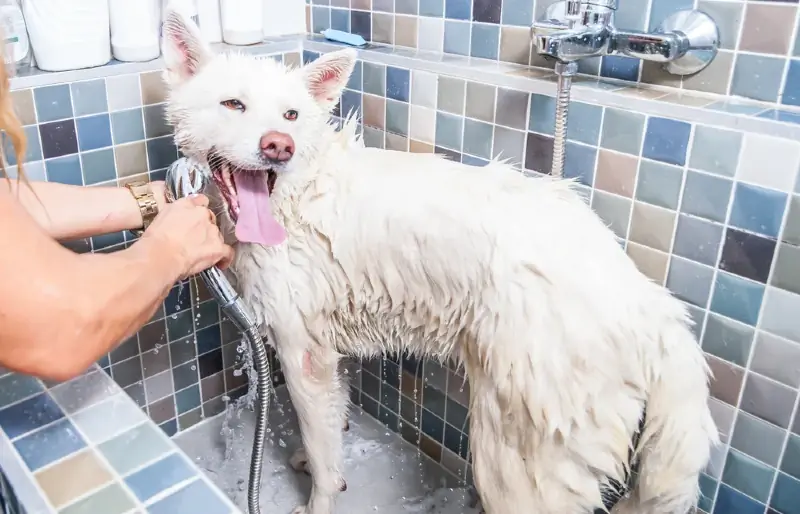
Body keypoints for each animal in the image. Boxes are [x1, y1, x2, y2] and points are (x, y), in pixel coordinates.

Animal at [161, 9, 720, 512]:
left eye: (291, 116)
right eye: (233, 104)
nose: (279, 146)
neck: (294, 196)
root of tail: (653, 306)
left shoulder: (303, 354)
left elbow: (322, 451)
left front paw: (319, 497)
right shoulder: (324, 353)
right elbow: (331, 427)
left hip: (516, 456)